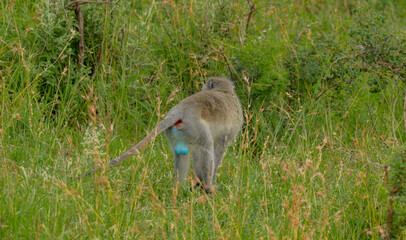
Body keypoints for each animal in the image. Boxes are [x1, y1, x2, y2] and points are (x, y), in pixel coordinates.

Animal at [89, 77, 241, 193]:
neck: (225, 91)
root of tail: (179, 111)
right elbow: (220, 147)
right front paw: (207, 182)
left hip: (181, 131)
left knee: (182, 153)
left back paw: (180, 188)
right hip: (195, 127)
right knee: (206, 145)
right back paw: (208, 187)